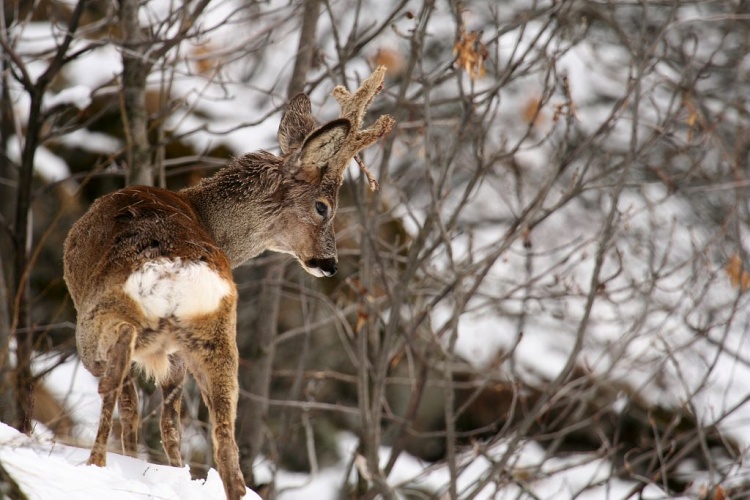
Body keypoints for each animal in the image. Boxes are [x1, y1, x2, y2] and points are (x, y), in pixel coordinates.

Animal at [64, 67, 396, 500]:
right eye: (323, 207)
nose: (331, 265)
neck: (205, 216)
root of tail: (177, 271)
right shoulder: (178, 357)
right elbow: (171, 424)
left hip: (99, 319)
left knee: (117, 375)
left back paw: (97, 463)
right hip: (218, 338)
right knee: (224, 439)